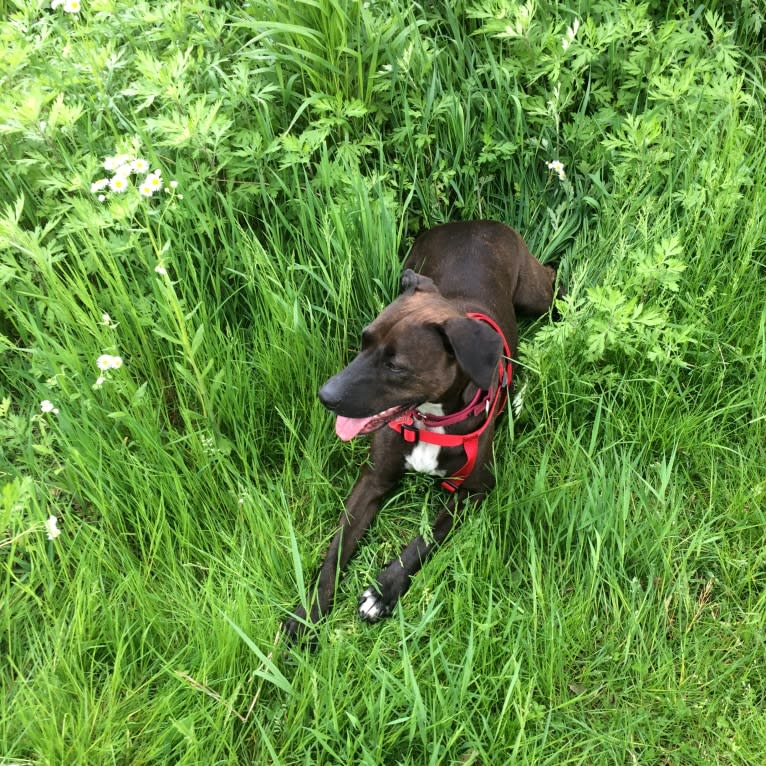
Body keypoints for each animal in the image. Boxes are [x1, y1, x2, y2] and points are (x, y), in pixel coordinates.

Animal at [284, 222, 560, 640]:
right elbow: (335, 551)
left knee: (555, 282)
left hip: (534, 293)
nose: (325, 395)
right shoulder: (372, 480)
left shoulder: (473, 492)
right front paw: (309, 612)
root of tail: (476, 222)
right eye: (363, 340)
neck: (430, 420)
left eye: (396, 366)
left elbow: (425, 538)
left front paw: (382, 591)